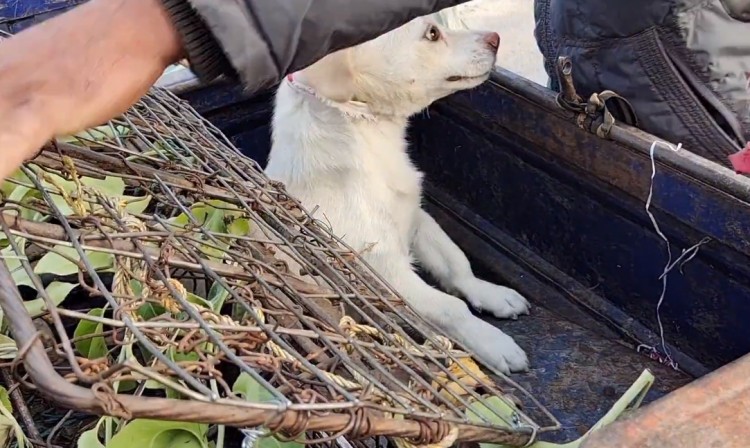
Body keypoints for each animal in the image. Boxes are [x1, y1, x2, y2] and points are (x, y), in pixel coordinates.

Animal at [268, 15, 532, 374]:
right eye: (432, 33)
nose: (496, 38)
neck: (365, 129)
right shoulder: (387, 274)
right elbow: (451, 307)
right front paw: (493, 342)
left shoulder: (417, 217)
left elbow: (456, 263)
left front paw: (492, 294)